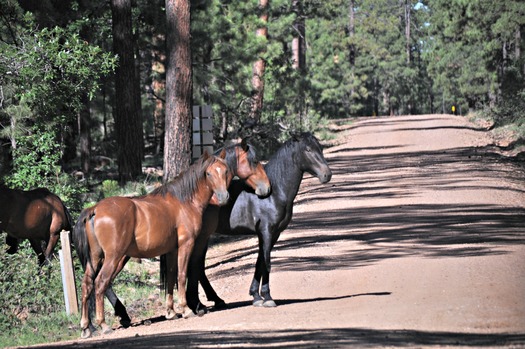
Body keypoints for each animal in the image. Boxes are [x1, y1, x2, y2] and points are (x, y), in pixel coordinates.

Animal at [72, 152, 231, 338]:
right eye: (209, 173)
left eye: (226, 171)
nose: (223, 197)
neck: (184, 202)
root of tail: (94, 209)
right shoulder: (186, 244)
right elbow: (182, 275)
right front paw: (186, 309)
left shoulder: (171, 250)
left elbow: (171, 277)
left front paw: (171, 311)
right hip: (113, 257)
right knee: (100, 283)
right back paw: (103, 324)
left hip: (96, 258)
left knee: (87, 285)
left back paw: (85, 327)